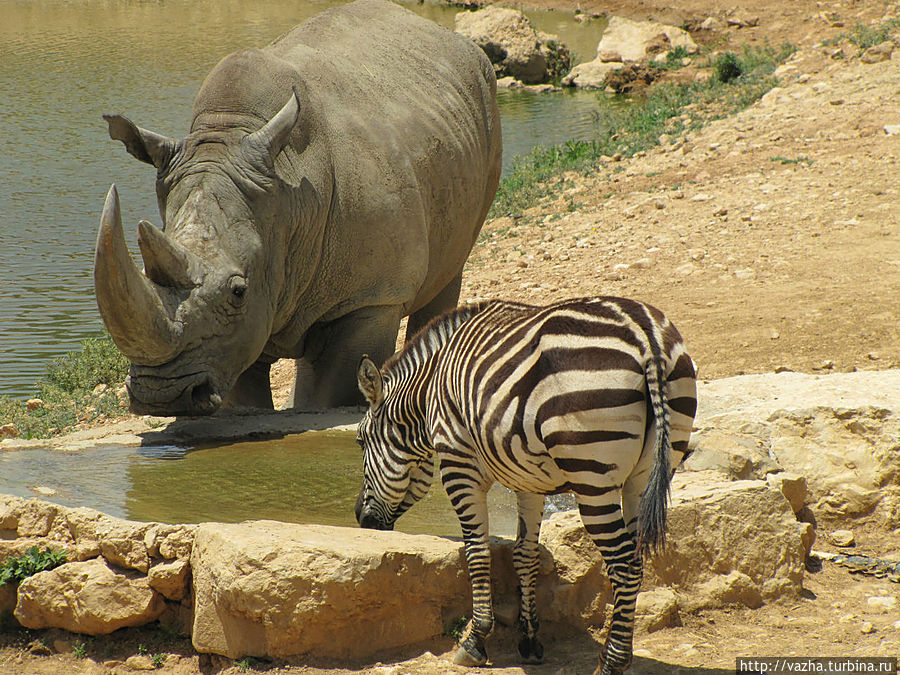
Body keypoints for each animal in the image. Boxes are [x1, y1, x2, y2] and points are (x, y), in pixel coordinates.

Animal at [352, 298, 696, 675]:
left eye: (359, 442)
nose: (359, 518)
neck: (430, 390)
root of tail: (645, 336)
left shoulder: (459, 465)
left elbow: (477, 552)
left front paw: (475, 641)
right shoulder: (528, 480)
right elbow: (525, 554)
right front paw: (529, 640)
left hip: (592, 476)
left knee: (624, 566)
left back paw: (612, 663)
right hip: (644, 474)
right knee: (635, 557)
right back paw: (618, 653)